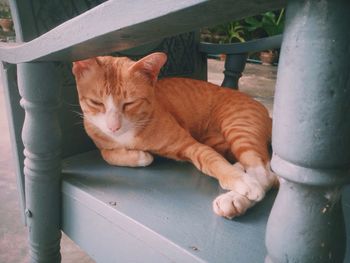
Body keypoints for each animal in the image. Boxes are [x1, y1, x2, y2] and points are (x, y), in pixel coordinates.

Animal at [72, 52, 278, 220]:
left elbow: (213, 161)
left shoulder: (192, 146)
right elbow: (107, 154)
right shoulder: (101, 141)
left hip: (238, 129)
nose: (113, 127)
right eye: (96, 103)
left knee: (265, 174)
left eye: (130, 103)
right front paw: (139, 156)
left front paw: (242, 181)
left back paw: (236, 196)